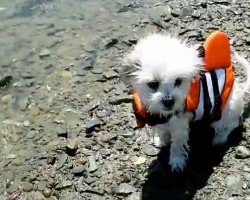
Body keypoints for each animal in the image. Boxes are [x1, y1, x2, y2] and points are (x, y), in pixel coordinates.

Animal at [118, 31, 250, 172]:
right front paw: (163, 140)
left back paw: (220, 137)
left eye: (178, 81)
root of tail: (239, 89)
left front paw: (177, 160)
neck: (164, 115)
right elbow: (163, 132)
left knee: (232, 124)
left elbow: (176, 145)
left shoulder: (179, 127)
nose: (169, 101)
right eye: (153, 83)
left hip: (223, 113)